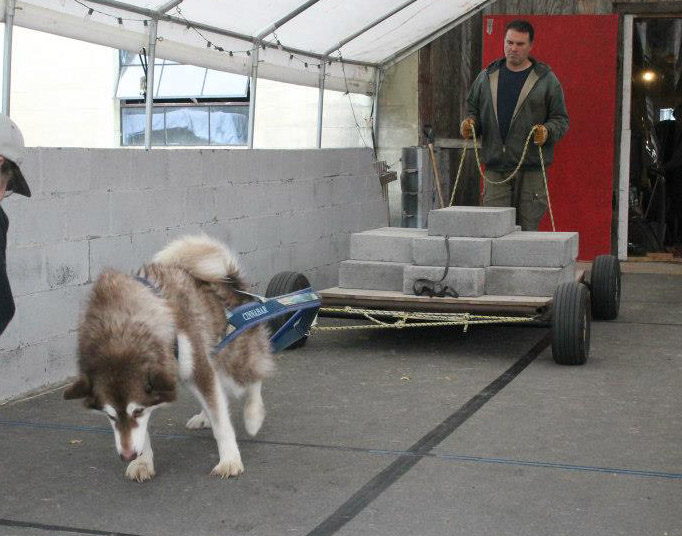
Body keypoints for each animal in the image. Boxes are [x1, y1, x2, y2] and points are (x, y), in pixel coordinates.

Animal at [62, 234, 272, 482]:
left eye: (137, 411)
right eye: (110, 416)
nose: (127, 456)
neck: (120, 330)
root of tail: (230, 282)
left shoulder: (197, 369)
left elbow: (221, 421)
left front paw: (229, 459)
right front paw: (142, 461)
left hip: (230, 360)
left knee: (252, 380)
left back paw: (253, 415)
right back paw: (203, 417)